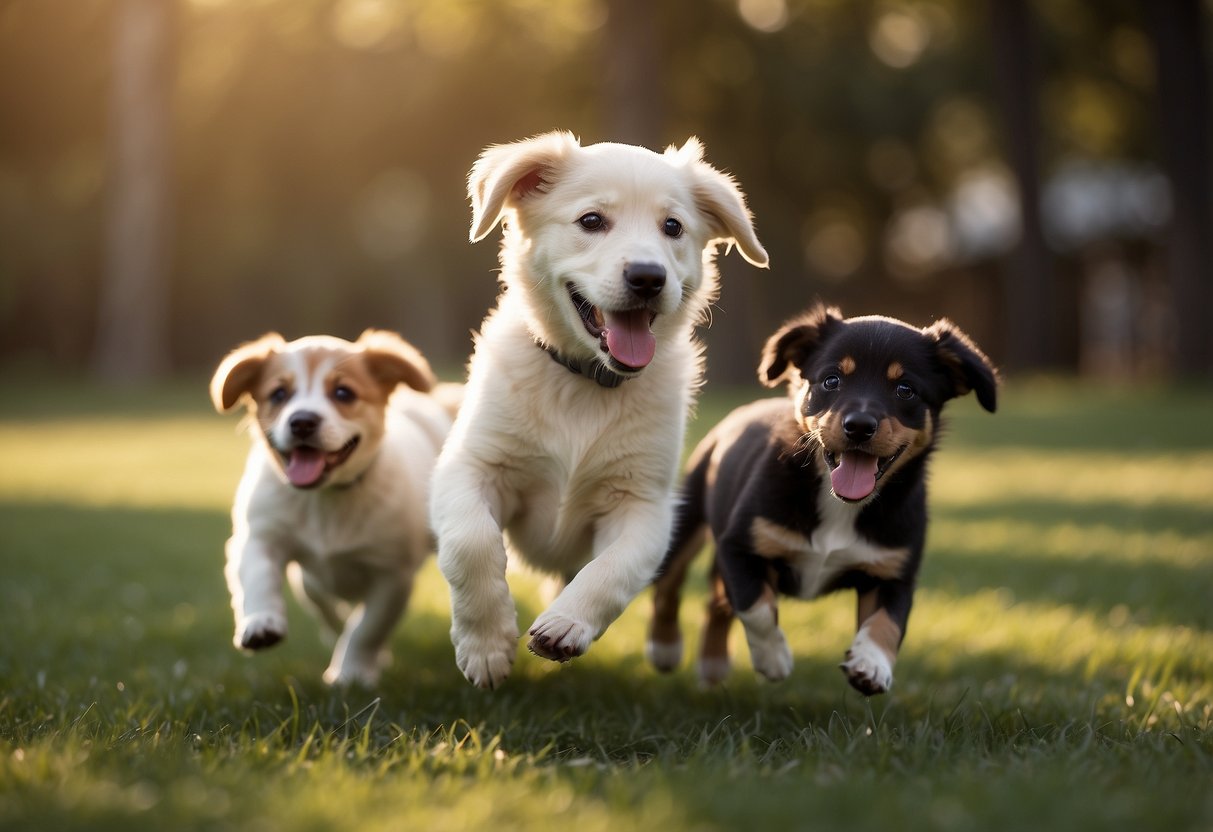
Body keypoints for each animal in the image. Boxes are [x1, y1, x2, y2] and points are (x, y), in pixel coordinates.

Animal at [211, 329, 453, 688]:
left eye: (343, 393)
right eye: (279, 393)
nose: (302, 422)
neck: (324, 499)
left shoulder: (392, 575)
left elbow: (367, 629)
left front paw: (352, 672)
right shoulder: (257, 537)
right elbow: (259, 577)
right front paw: (261, 622)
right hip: (308, 576)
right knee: (320, 599)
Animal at [429, 132, 766, 688]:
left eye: (672, 227)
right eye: (591, 221)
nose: (649, 277)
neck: (585, 383)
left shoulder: (644, 504)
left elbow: (616, 570)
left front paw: (567, 623)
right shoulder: (472, 467)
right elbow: (471, 542)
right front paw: (487, 645)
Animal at [645, 306, 994, 698]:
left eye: (905, 389)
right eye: (831, 381)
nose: (859, 426)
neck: (839, 504)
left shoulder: (894, 571)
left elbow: (888, 621)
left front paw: (871, 665)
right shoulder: (739, 546)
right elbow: (756, 608)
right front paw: (774, 659)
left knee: (715, 603)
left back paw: (713, 666)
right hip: (687, 521)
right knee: (668, 587)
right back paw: (665, 649)